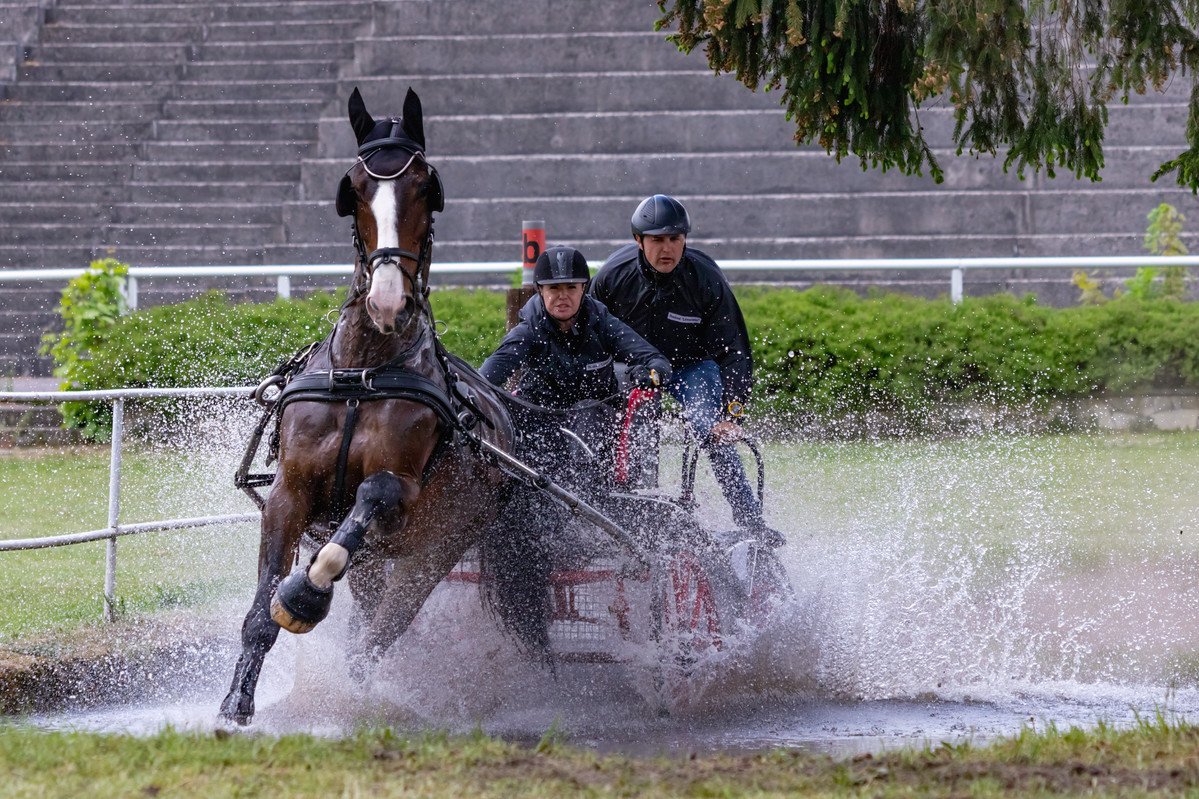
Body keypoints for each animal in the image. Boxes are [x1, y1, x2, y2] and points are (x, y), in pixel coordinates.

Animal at [220, 86, 515, 719]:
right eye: (353, 187)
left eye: (426, 185)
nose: (386, 300)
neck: (364, 372)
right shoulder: (291, 492)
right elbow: (260, 612)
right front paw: (236, 701)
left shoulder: (397, 497)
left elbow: (363, 509)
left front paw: (304, 595)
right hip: (379, 560)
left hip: (430, 552)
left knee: (381, 633)